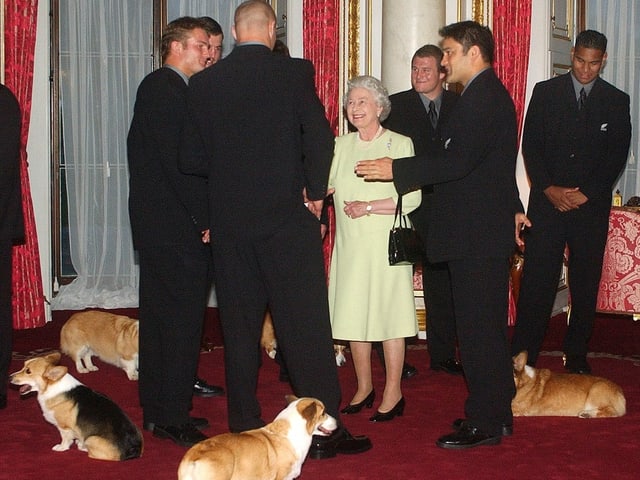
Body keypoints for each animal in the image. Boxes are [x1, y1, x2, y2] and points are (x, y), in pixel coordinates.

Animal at [10, 352, 142, 462]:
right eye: (24, 366)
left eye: (28, 371)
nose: (9, 377)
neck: (51, 387)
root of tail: (133, 450)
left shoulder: (64, 427)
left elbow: (65, 439)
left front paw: (61, 447)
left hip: (91, 439)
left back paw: (82, 446)